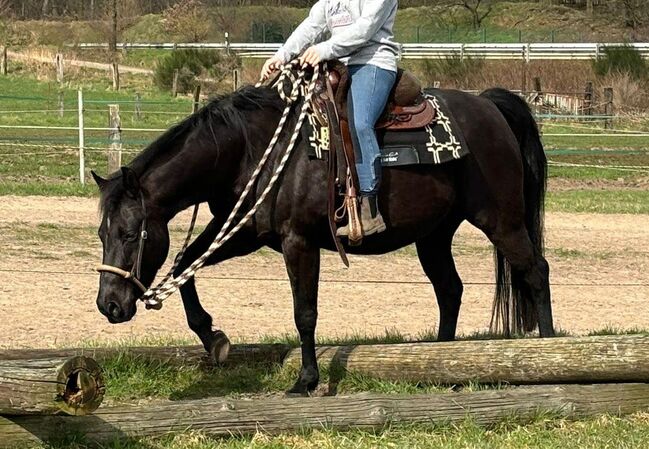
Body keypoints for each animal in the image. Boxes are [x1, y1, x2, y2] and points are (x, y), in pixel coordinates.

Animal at [93, 82, 556, 394]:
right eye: (101, 233)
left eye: (131, 233)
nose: (108, 305)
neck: (255, 150)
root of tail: (489, 105)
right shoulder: (244, 232)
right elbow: (184, 265)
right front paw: (214, 338)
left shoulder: (299, 241)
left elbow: (305, 312)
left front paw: (306, 380)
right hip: (434, 235)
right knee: (450, 289)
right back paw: (440, 360)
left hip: (501, 220)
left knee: (535, 271)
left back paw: (549, 347)